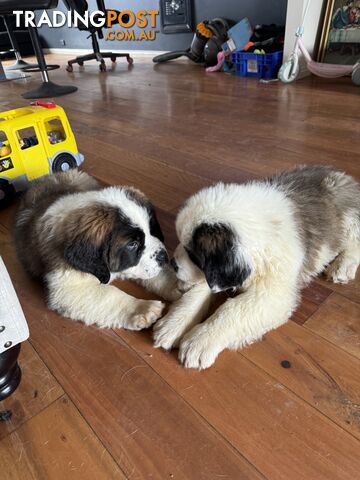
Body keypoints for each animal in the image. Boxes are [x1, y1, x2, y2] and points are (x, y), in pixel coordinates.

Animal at [14, 171, 179, 332]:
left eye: (152, 229)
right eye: (132, 244)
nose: (164, 257)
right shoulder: (66, 287)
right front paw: (142, 308)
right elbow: (110, 294)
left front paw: (177, 283)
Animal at [155, 167, 360, 370]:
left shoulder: (273, 293)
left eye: (193, 255)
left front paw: (199, 341)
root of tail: (338, 173)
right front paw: (173, 325)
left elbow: (233, 309)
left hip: (349, 218)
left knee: (355, 241)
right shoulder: (217, 274)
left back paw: (342, 267)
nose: (172, 263)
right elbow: (196, 293)